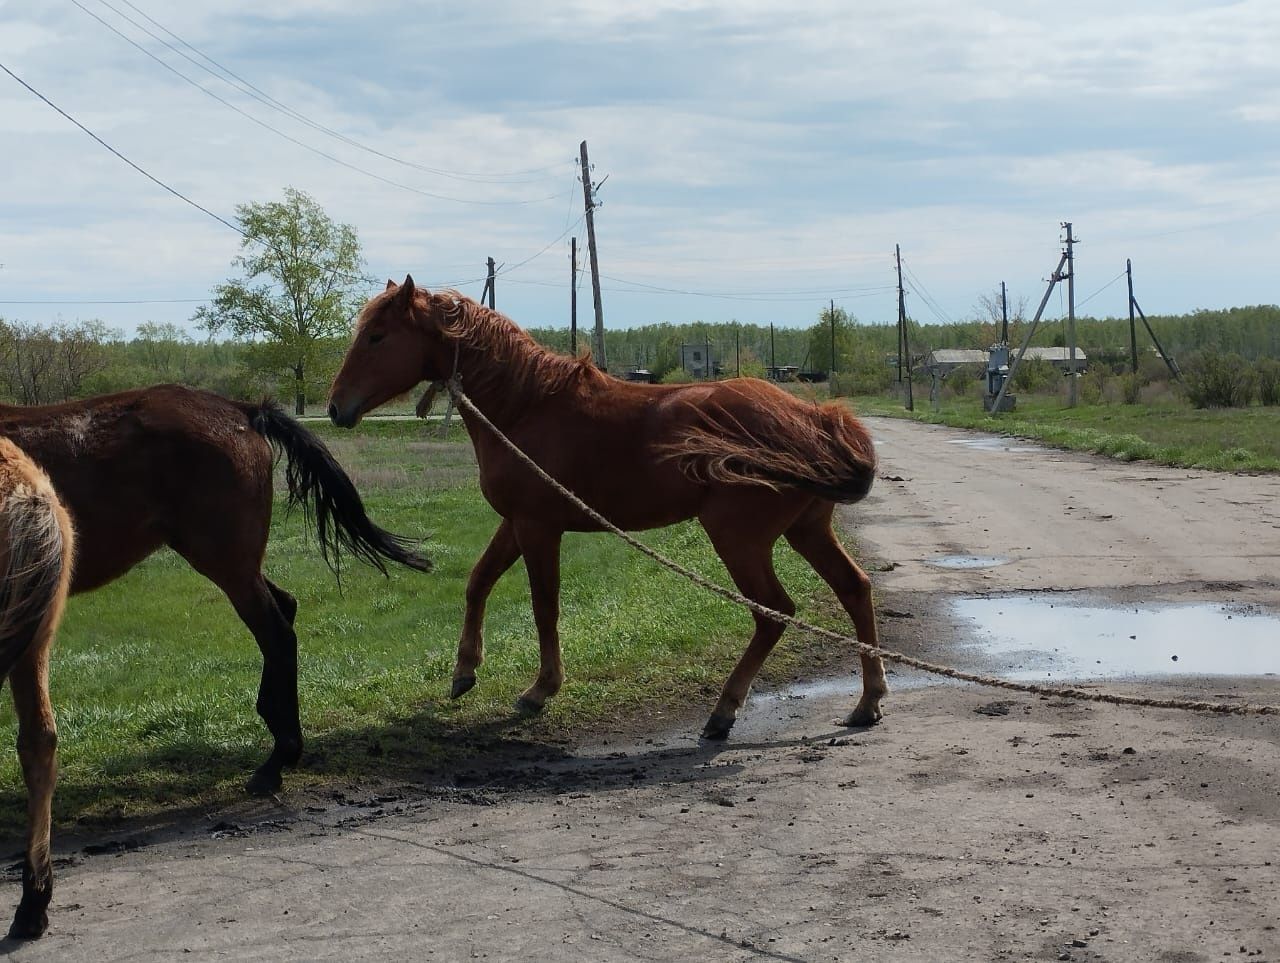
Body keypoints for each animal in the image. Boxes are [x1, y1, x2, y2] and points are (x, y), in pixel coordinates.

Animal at [0, 384, 430, 799]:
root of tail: (243, 410)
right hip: (236, 564)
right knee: (285, 608)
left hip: (227, 564)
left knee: (277, 634)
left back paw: (278, 758)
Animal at [330, 274, 885, 742]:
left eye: (377, 335)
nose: (336, 408)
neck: (525, 404)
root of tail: (810, 417)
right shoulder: (516, 523)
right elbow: (478, 582)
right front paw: (465, 670)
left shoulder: (538, 527)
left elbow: (544, 605)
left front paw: (541, 689)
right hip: (806, 530)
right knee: (855, 589)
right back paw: (868, 700)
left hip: (738, 539)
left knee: (774, 614)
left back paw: (724, 711)